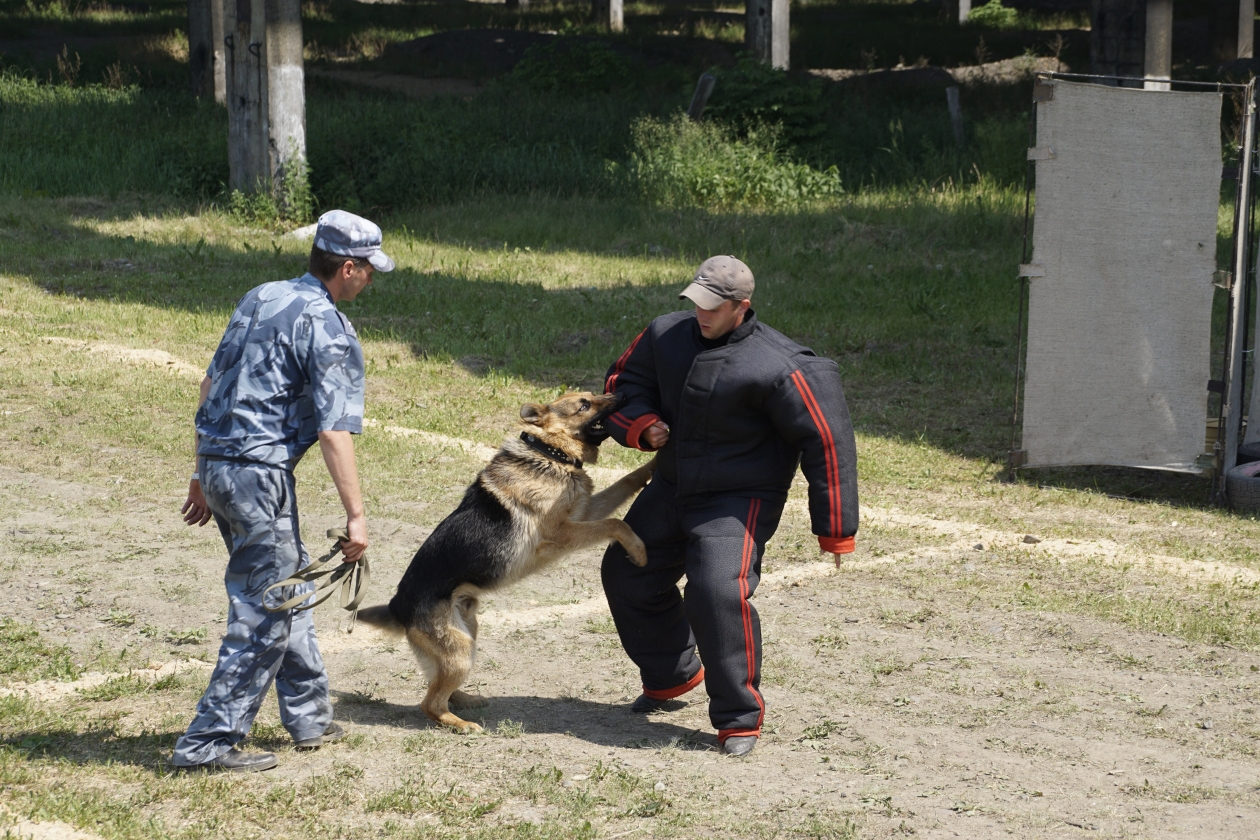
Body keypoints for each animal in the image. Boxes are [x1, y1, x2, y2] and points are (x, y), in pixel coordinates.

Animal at [352, 392, 650, 730]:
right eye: (584, 405)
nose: (624, 394)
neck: (548, 453)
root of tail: (397, 604)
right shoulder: (563, 532)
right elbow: (616, 523)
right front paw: (638, 550)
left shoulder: (584, 512)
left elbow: (627, 482)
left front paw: (654, 465)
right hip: (460, 649)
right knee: (429, 703)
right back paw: (461, 725)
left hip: (466, 636)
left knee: (438, 685)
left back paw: (466, 700)